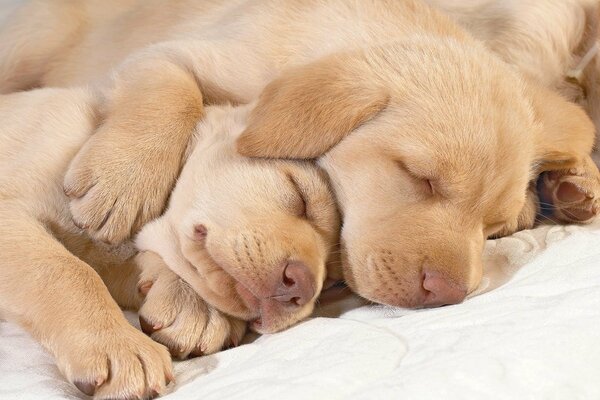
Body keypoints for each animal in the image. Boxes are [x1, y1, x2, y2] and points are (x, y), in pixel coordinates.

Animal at [0, 88, 340, 400]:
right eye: (300, 196)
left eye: (334, 284)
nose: (302, 289)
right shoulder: (11, 215)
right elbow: (68, 270)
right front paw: (120, 345)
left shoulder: (111, 256)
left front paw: (194, 306)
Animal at [1, 0, 596, 312]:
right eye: (419, 178)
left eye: (492, 229)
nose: (449, 295)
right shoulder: (165, 54)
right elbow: (169, 87)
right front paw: (123, 179)